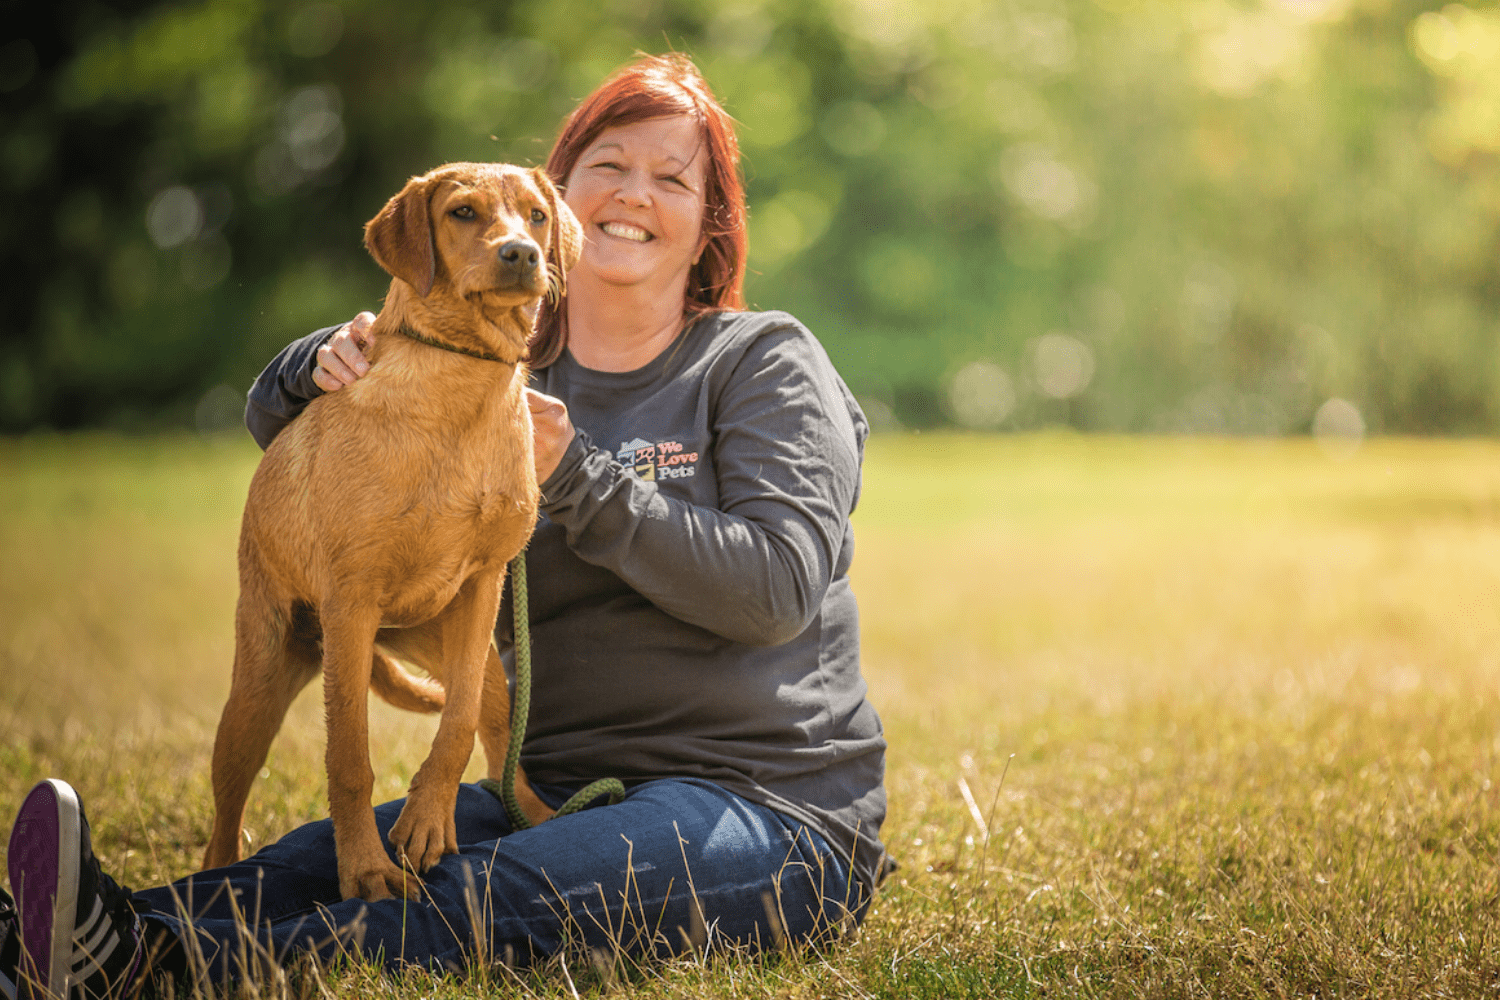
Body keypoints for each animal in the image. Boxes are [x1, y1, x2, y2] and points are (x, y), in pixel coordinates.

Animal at [208, 162, 582, 899]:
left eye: (537, 215)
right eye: (463, 213)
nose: (522, 253)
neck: (461, 377)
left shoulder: (483, 585)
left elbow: (456, 726)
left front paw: (427, 822)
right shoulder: (351, 603)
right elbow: (348, 757)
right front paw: (366, 870)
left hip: (473, 657)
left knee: (499, 742)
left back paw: (542, 816)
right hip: (261, 683)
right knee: (226, 811)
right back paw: (221, 876)